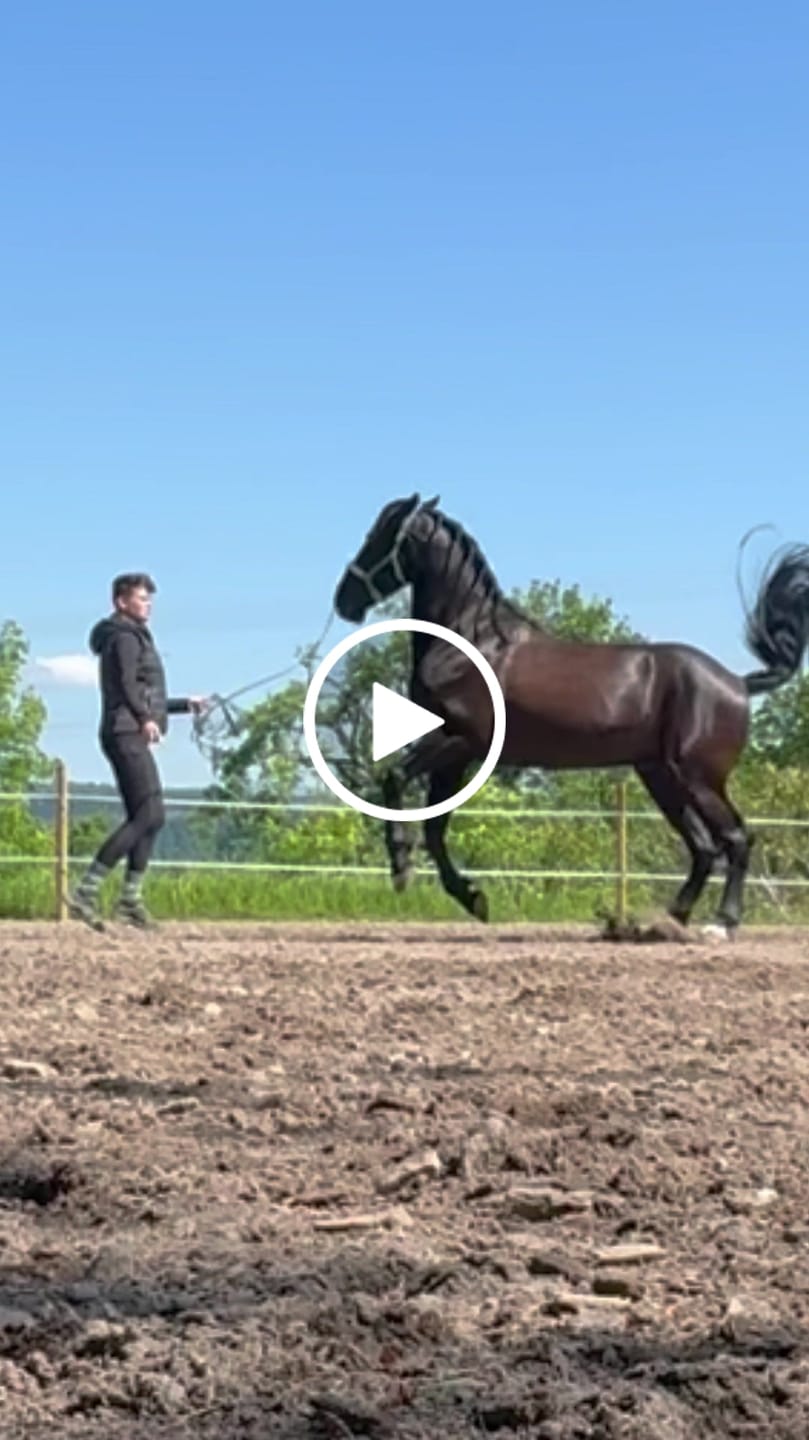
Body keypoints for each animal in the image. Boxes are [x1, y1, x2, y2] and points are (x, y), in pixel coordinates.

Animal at [333, 494, 809, 934]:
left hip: (699, 778)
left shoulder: (458, 742)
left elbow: (395, 782)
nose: (344, 601)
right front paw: (472, 898)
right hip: (661, 776)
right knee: (704, 847)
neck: (472, 644)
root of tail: (738, 683)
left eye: (380, 537)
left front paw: (402, 866)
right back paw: (669, 920)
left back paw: (721, 923)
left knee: (736, 839)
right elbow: (435, 829)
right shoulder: (456, 755)